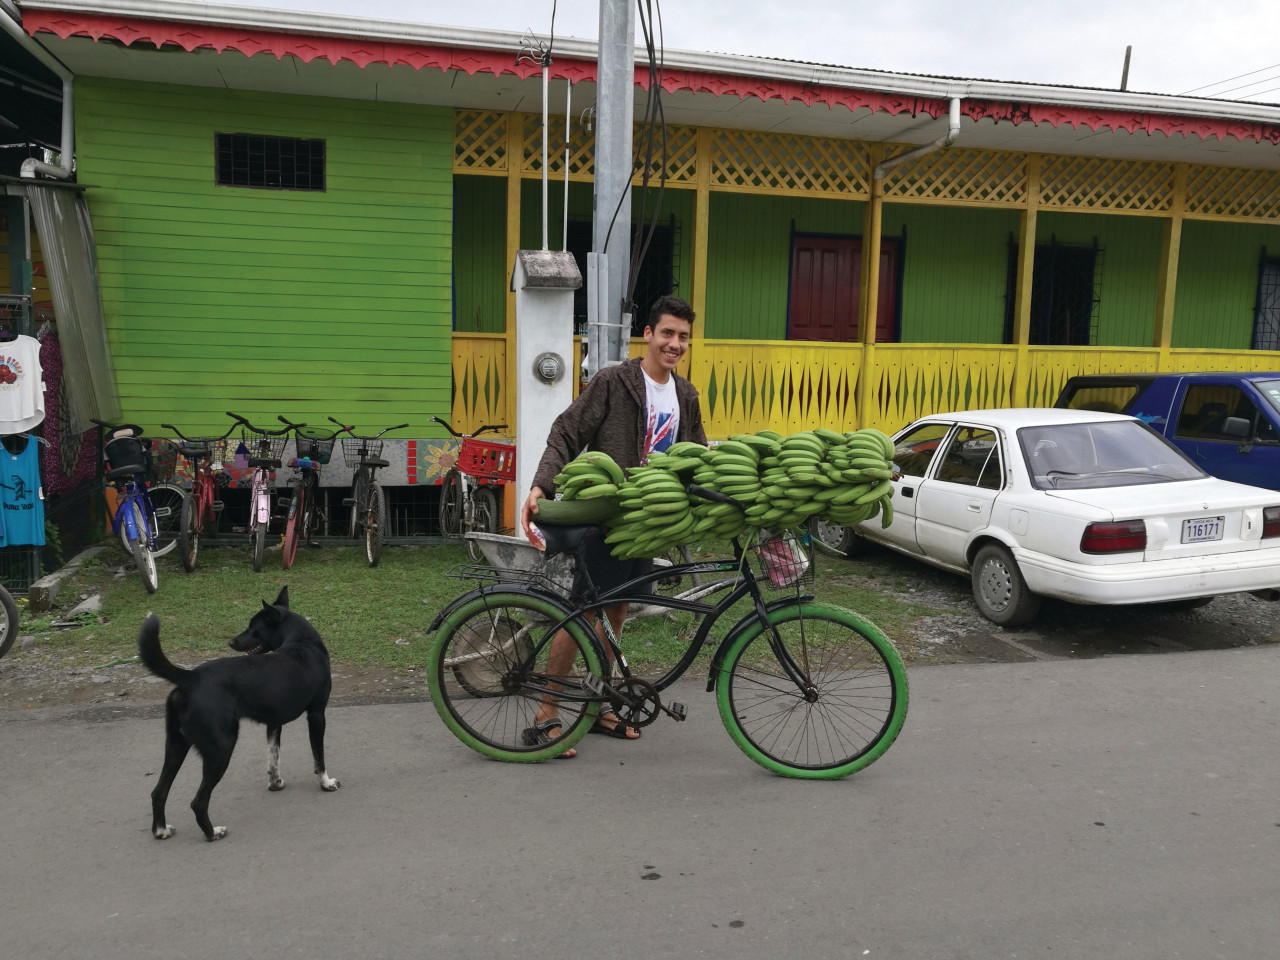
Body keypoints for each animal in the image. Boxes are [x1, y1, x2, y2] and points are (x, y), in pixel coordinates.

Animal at [139, 586, 340, 839]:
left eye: (254, 629)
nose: (231, 641)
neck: (302, 641)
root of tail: (190, 677)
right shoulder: (316, 715)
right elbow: (318, 758)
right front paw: (326, 783)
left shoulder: (274, 723)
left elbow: (273, 757)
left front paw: (275, 783)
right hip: (221, 747)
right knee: (198, 801)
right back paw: (212, 833)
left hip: (176, 745)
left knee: (158, 792)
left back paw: (161, 830)